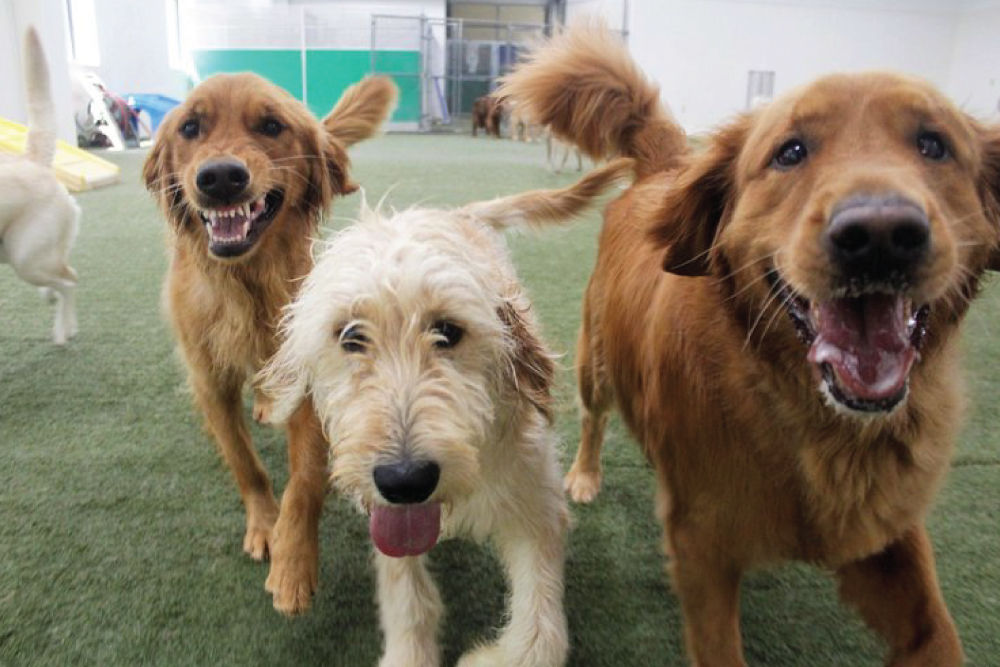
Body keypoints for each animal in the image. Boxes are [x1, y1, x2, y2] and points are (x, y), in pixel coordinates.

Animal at [142, 73, 398, 616]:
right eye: (190, 127)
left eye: (271, 126)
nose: (220, 177)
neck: (246, 284)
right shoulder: (210, 382)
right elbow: (245, 463)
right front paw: (264, 524)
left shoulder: (308, 377)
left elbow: (305, 481)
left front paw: (293, 559)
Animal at [258, 159, 632, 664]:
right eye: (350, 336)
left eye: (448, 331)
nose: (405, 480)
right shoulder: (388, 520)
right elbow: (408, 597)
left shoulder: (537, 505)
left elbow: (541, 635)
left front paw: (489, 657)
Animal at [504, 23, 1000, 664]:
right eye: (790, 152)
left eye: (934, 145)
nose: (881, 235)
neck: (807, 411)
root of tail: (667, 169)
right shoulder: (702, 545)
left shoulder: (886, 522)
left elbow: (937, 630)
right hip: (597, 359)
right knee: (594, 416)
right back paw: (586, 474)